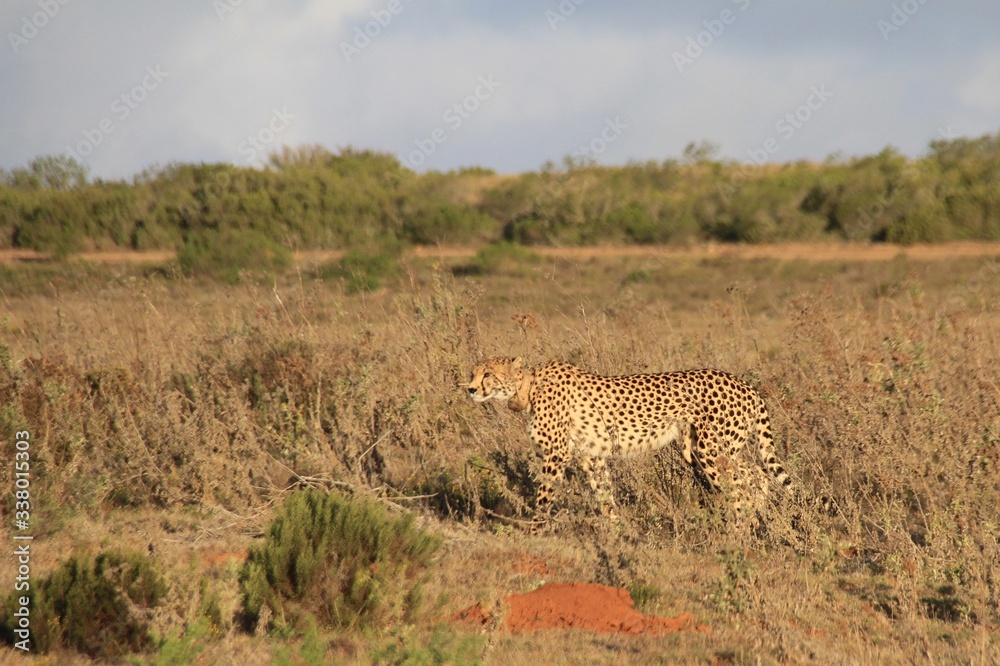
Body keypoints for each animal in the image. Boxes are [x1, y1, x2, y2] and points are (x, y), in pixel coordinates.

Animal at [466, 356, 793, 526]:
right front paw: (617, 532)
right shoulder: (592, 456)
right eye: (473, 373)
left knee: (746, 480)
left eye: (488, 374)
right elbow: (604, 495)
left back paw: (741, 528)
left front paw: (535, 531)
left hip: (713, 449)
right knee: (755, 474)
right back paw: (756, 518)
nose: (469, 388)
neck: (528, 387)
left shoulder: (556, 454)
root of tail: (746, 384)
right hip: (696, 449)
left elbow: (544, 498)